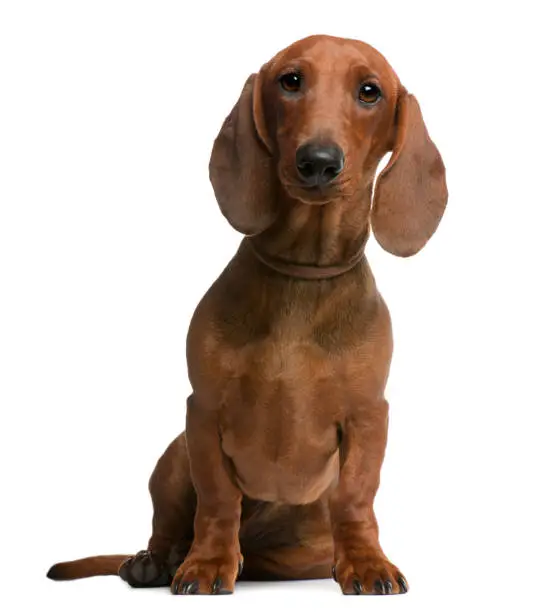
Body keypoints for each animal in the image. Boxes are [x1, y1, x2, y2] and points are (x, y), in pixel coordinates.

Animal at [46, 32, 446, 592]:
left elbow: (356, 496)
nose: (318, 161)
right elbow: (217, 500)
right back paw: (157, 560)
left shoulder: (369, 416)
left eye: (370, 91)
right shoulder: (203, 411)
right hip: (173, 457)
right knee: (174, 526)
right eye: (290, 80)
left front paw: (367, 562)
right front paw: (207, 563)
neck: (301, 273)